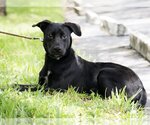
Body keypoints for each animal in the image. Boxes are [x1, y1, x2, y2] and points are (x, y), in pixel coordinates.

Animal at [17, 20, 146, 107]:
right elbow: (25, 85)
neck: (54, 62)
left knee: (113, 99)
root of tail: (142, 86)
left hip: (105, 73)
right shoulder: (42, 84)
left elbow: (29, 88)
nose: (57, 49)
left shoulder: (55, 89)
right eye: (50, 35)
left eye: (64, 36)